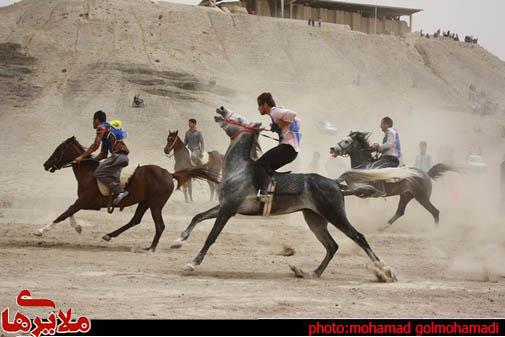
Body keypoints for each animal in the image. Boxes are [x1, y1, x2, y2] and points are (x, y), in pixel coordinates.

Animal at [37, 135, 219, 251]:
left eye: (59, 150)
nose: (45, 164)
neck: (88, 173)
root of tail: (169, 173)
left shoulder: (84, 201)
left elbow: (65, 213)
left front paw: (41, 230)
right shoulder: (86, 203)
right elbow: (69, 212)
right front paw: (78, 227)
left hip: (155, 204)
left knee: (159, 225)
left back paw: (151, 248)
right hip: (144, 202)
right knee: (135, 220)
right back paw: (110, 235)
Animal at [173, 106, 406, 280]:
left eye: (239, 118)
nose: (221, 108)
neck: (239, 169)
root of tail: (334, 182)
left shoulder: (228, 209)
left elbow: (211, 237)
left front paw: (191, 264)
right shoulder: (223, 205)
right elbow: (198, 216)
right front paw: (179, 240)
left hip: (335, 214)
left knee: (358, 237)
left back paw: (385, 270)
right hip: (315, 219)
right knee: (332, 246)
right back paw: (310, 272)